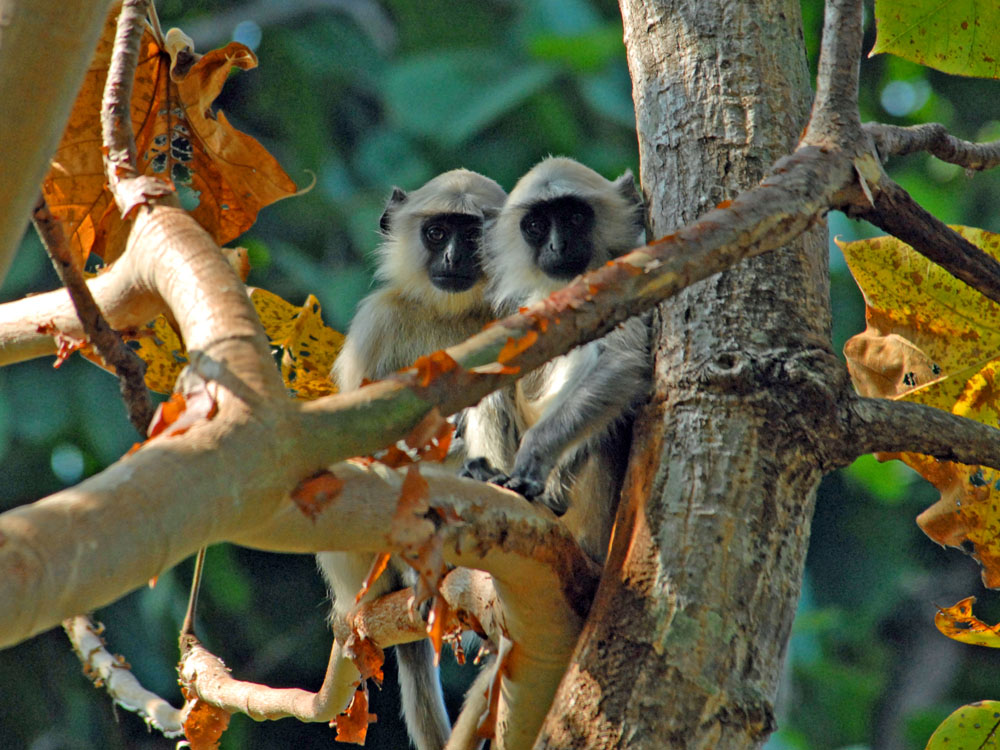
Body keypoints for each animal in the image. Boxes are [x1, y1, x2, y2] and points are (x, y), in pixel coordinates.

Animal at [458, 157, 648, 564]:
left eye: (574, 218)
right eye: (536, 226)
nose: (557, 246)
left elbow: (623, 361)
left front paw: (535, 454)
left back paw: (552, 496)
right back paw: (487, 475)